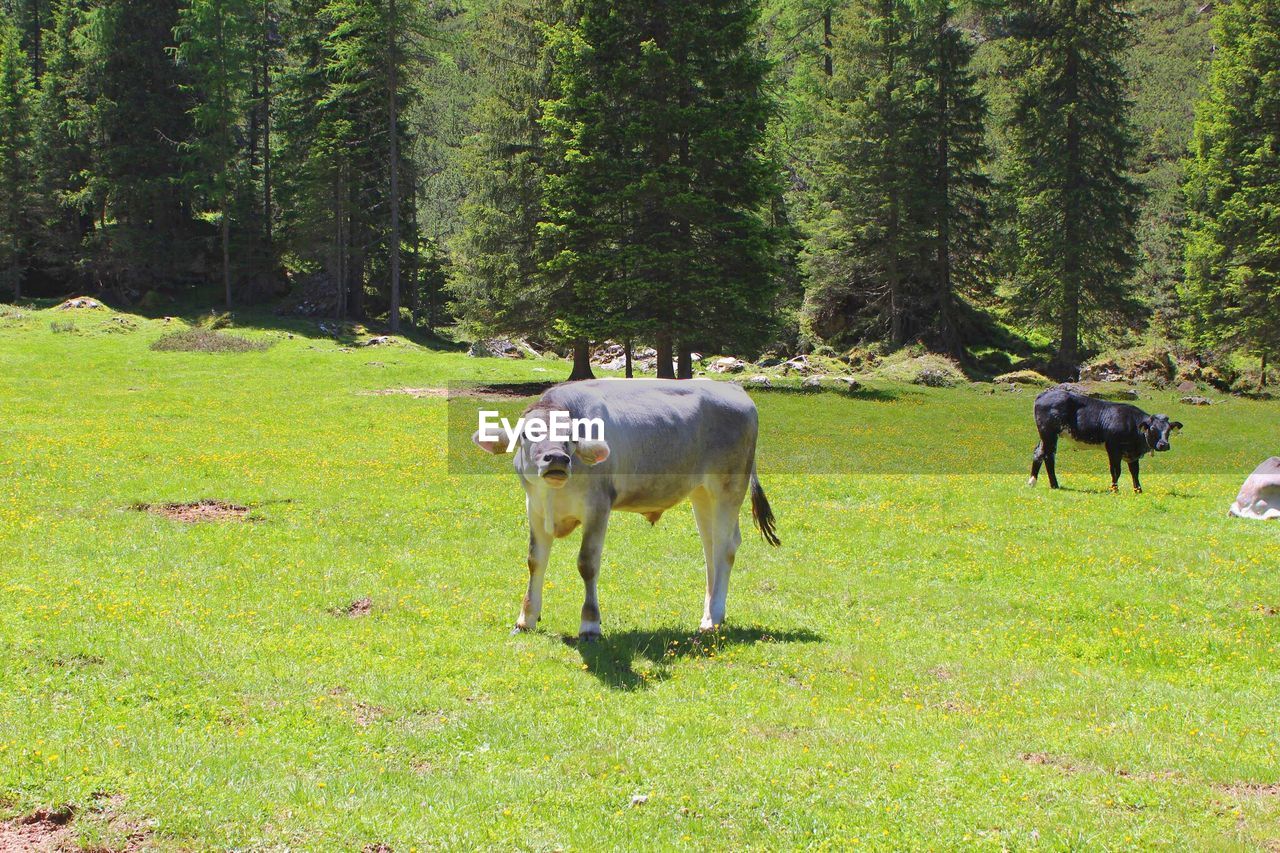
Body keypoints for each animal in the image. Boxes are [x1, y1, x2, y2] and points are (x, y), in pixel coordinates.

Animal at [1024, 384, 1182, 491]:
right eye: (1153, 429)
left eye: (1168, 430)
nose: (1164, 445)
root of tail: (1043, 394)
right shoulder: (1113, 448)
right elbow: (1116, 470)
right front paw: (1114, 490)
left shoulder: (1132, 454)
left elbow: (1135, 472)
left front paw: (1138, 490)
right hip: (1048, 433)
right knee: (1047, 455)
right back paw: (1049, 484)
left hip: (1047, 435)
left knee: (1041, 453)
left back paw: (1039, 483)